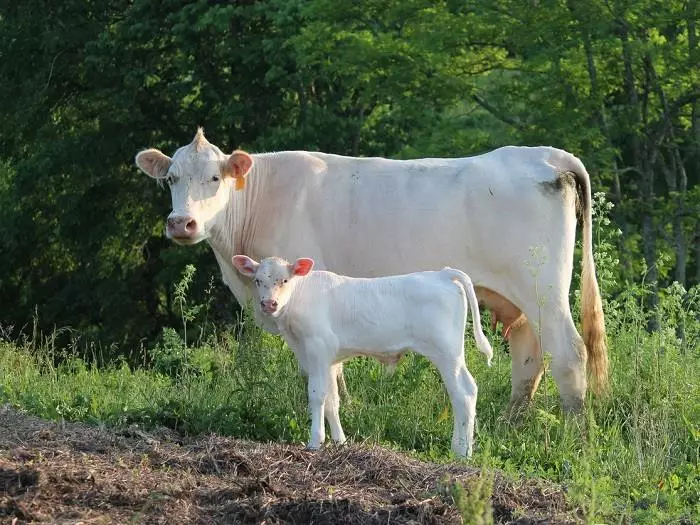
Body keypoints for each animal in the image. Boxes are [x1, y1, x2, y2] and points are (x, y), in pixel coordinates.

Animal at [135, 128, 608, 414]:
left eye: (214, 178)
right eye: (171, 178)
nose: (181, 223)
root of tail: (545, 155)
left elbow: (321, 369)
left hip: (543, 288)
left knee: (569, 353)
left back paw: (575, 430)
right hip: (517, 298)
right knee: (530, 357)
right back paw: (513, 421)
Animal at [230, 254, 492, 454]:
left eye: (284, 280)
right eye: (257, 280)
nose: (269, 304)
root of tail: (441, 273)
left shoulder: (317, 348)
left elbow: (317, 395)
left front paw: (315, 441)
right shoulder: (327, 359)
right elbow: (332, 400)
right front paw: (340, 442)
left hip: (447, 353)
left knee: (464, 393)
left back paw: (462, 451)